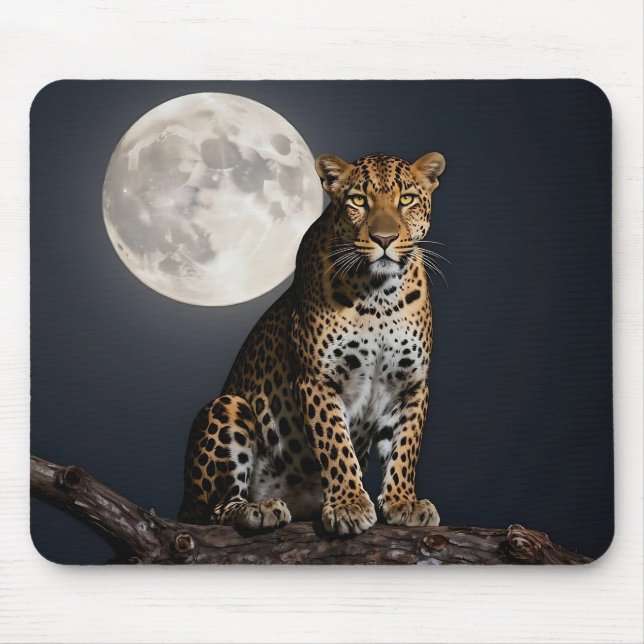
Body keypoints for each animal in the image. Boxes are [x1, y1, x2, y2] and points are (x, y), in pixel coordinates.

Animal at [178, 150, 446, 535]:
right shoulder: (317, 379)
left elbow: (406, 446)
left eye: (407, 199)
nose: (384, 238)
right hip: (228, 406)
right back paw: (257, 510)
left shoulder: (411, 384)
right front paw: (349, 504)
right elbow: (336, 444)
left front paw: (403, 501)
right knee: (214, 510)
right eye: (358, 200)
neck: (379, 296)